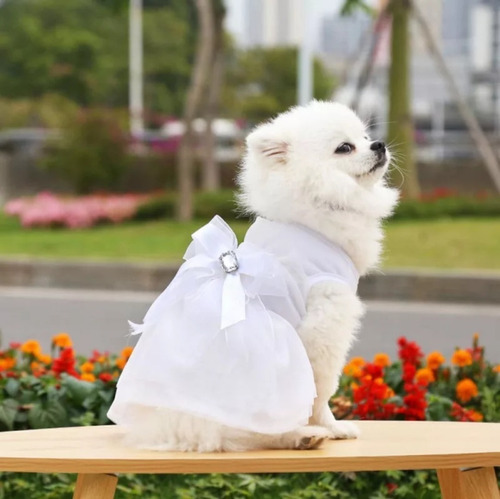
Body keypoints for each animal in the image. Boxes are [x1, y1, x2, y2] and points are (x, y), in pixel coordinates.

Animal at [109, 101, 398, 454]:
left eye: (365, 137)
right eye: (345, 147)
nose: (379, 144)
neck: (314, 210)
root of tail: (168, 431)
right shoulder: (326, 320)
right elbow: (321, 390)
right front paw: (332, 425)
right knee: (259, 430)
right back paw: (301, 435)